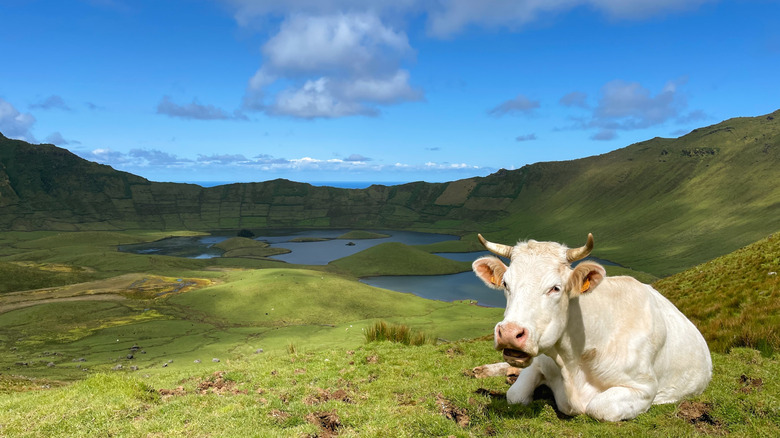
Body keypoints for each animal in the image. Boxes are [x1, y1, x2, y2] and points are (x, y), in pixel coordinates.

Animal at [472, 233, 712, 421]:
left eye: (555, 288)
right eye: (505, 284)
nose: (510, 333)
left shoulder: (644, 388)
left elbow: (598, 408)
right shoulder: (537, 363)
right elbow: (515, 395)